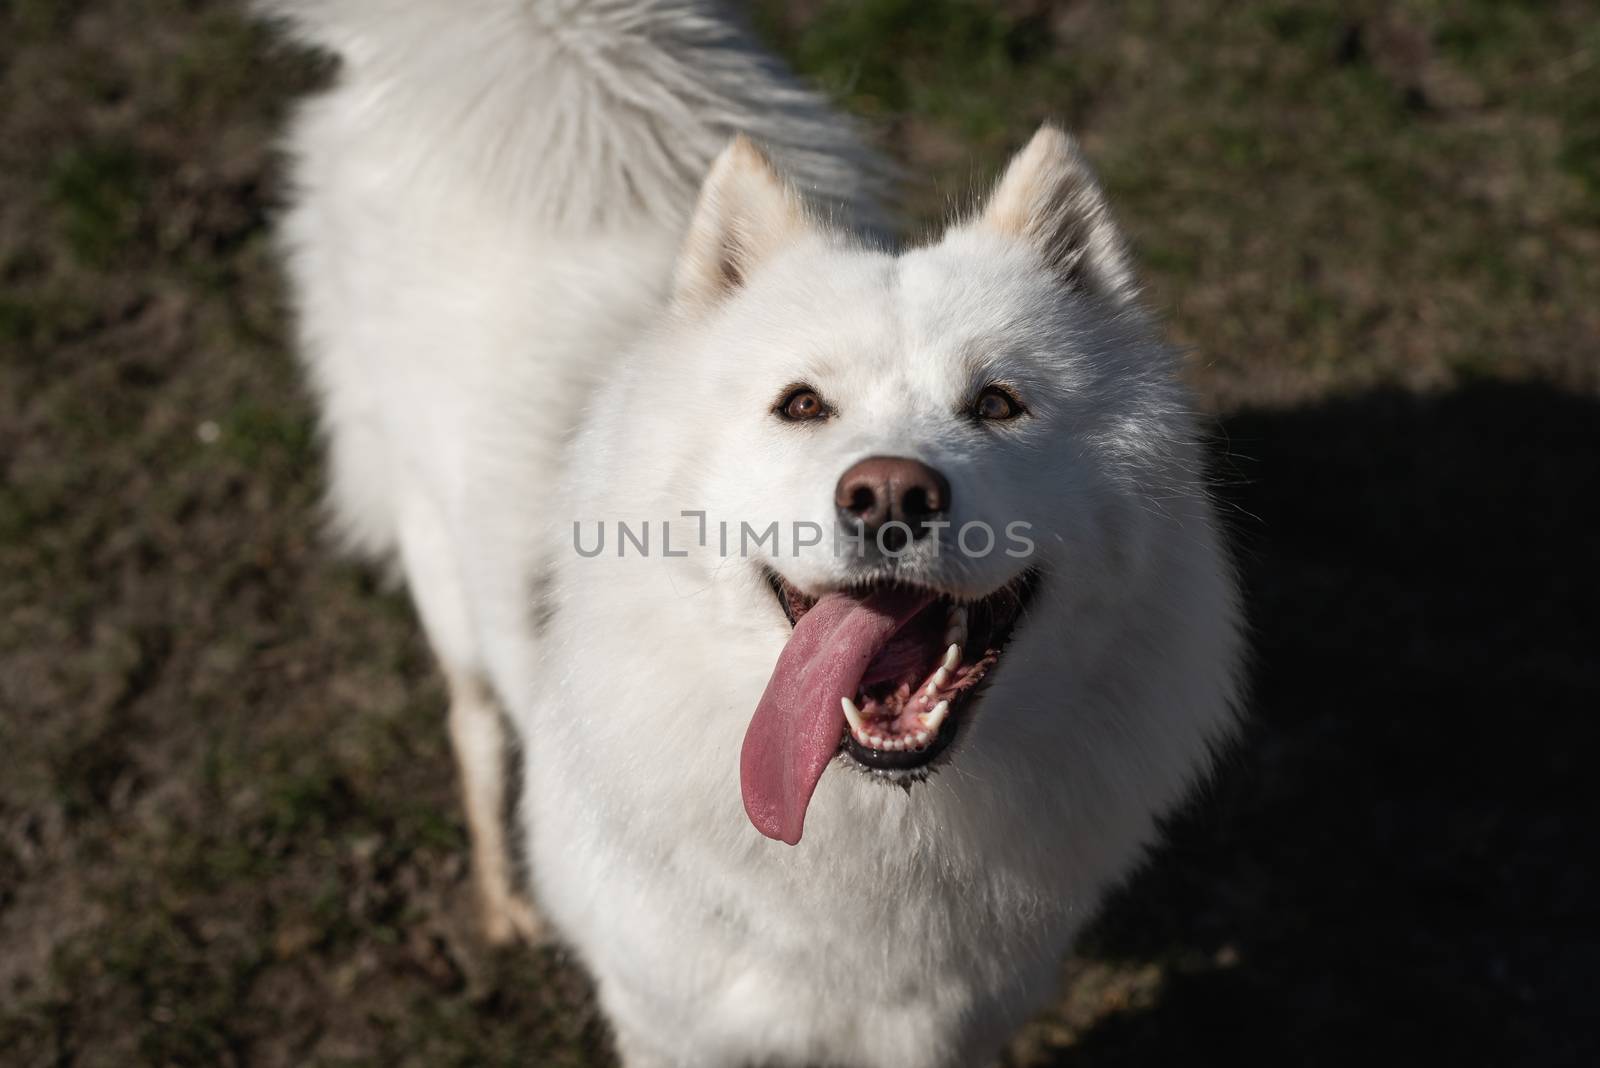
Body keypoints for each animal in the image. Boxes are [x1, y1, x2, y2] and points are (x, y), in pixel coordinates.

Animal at [262, 2, 1241, 1068]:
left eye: (997, 404)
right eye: (801, 404)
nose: (889, 495)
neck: (873, 840)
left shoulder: (963, 1026)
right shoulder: (671, 1024)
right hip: (440, 565)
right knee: (472, 722)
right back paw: (503, 898)